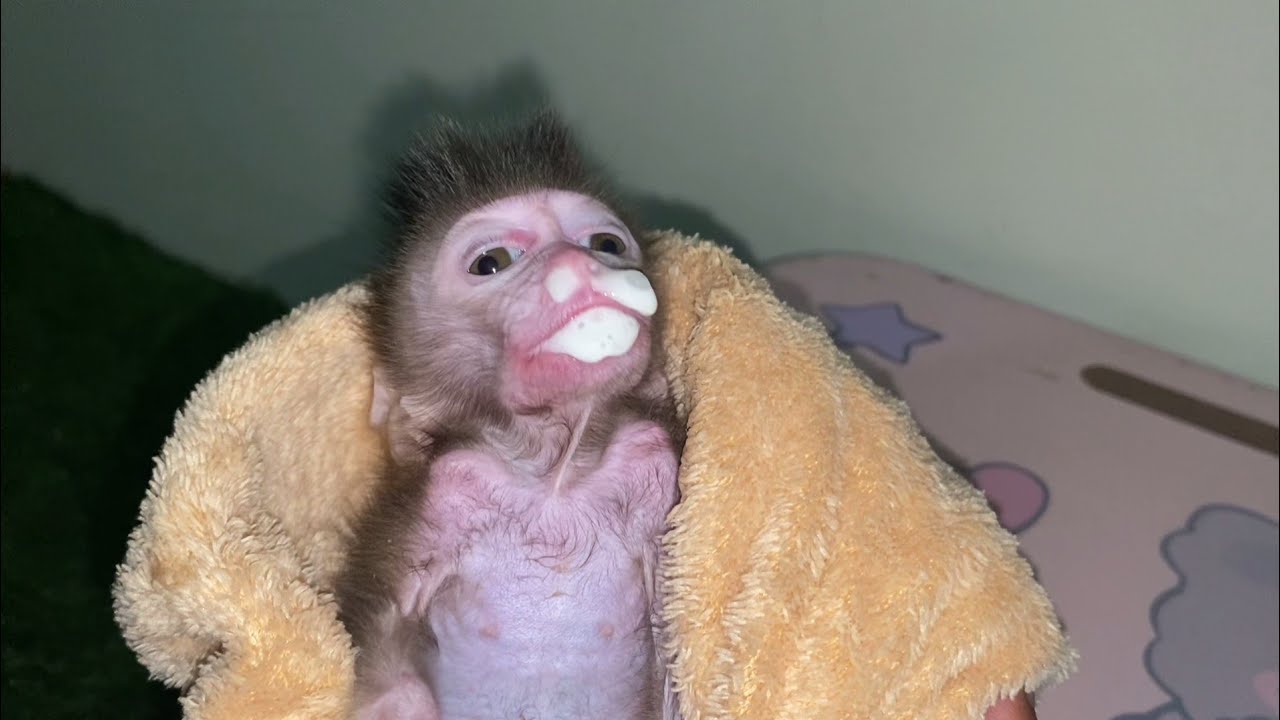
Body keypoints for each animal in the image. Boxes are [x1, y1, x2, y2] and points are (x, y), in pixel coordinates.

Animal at [335, 112, 683, 720]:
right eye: (490, 262)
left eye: (607, 244)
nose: (577, 264)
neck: (557, 479)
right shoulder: (437, 498)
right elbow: (381, 652)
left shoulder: (657, 472)